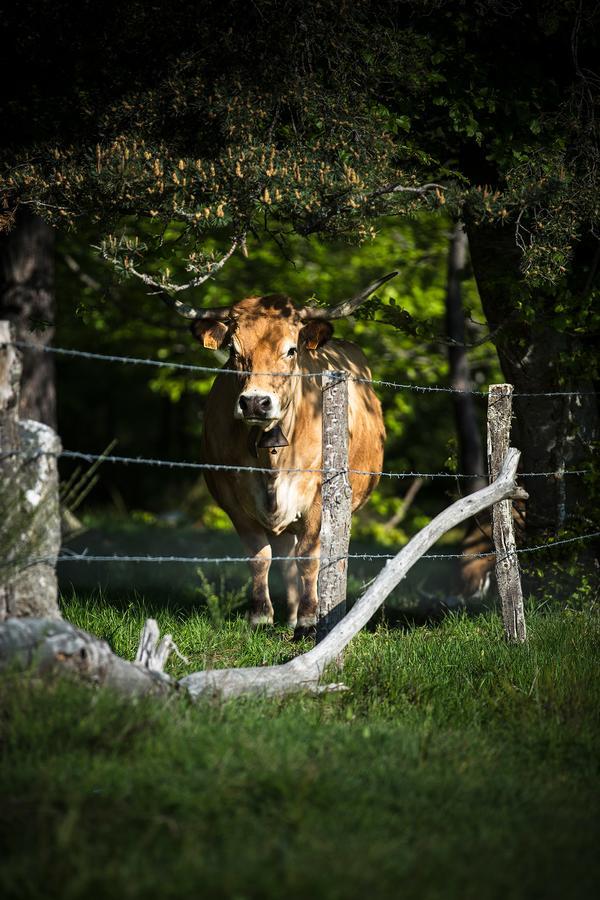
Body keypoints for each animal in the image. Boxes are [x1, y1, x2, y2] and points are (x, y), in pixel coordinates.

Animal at [162, 274, 396, 640]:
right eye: (233, 350)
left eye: (291, 349)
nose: (255, 402)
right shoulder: (234, 502)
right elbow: (260, 557)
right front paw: (261, 617)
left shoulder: (317, 501)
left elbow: (310, 559)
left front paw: (310, 621)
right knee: (285, 556)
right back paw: (290, 613)